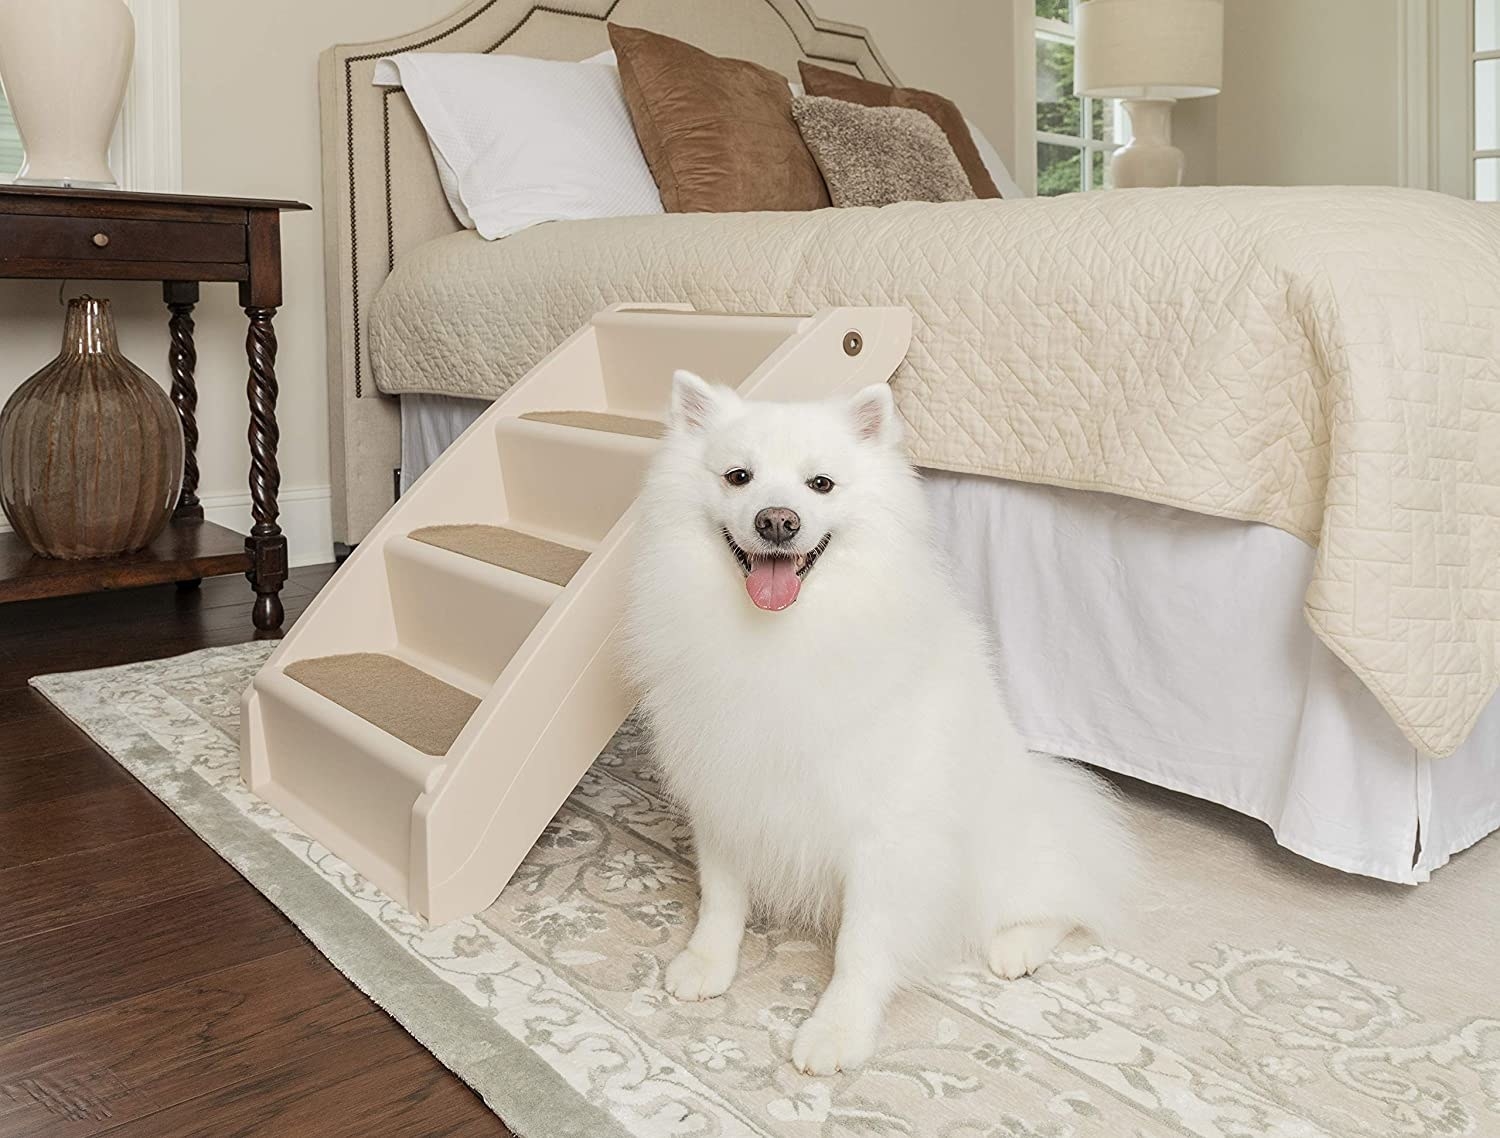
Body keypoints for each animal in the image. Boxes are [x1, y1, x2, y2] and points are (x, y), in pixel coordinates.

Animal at [618, 373, 1128, 1079]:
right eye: (739, 477)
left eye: (821, 484)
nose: (777, 521)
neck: (785, 639)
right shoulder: (726, 794)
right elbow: (722, 898)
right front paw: (706, 963)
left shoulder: (884, 835)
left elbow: (859, 948)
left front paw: (836, 1032)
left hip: (1006, 861)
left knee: (1064, 895)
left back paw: (1016, 947)